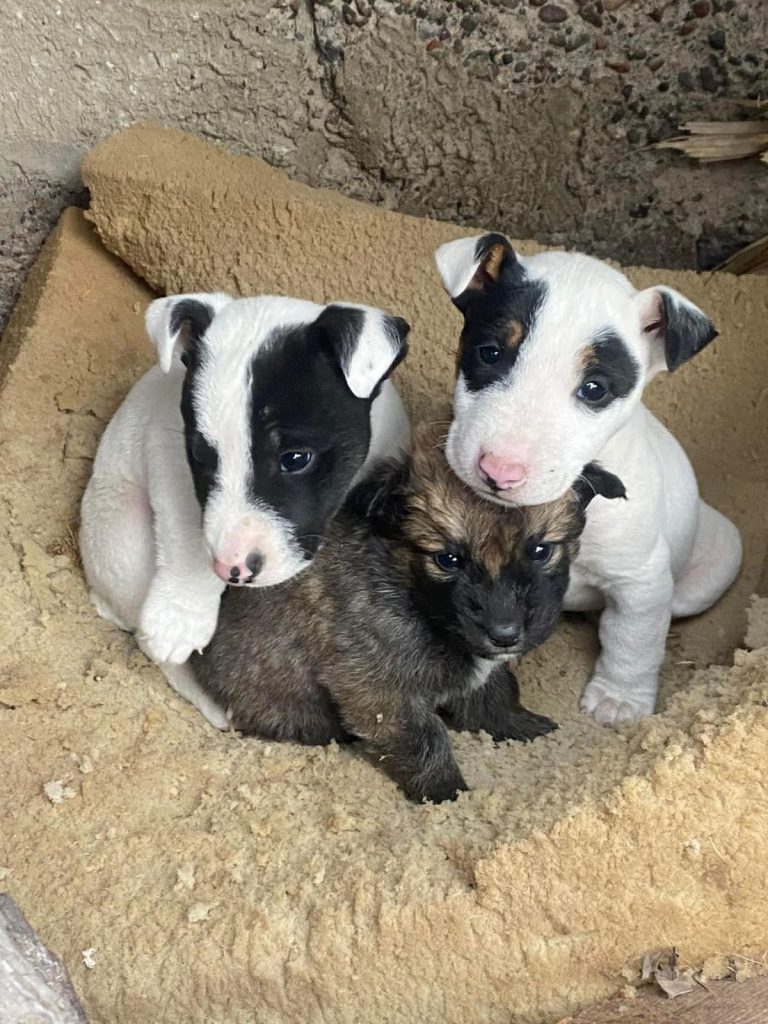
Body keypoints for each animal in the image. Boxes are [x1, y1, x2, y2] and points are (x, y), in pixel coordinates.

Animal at [80, 288, 411, 724]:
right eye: (200, 457)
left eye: (296, 458)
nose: (230, 570)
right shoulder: (170, 456)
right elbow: (187, 530)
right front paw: (180, 616)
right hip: (121, 532)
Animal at [191, 428, 626, 802]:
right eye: (447, 559)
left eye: (541, 550)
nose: (504, 634)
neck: (411, 595)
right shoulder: (380, 692)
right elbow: (426, 738)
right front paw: (446, 793)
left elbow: (497, 690)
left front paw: (518, 724)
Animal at [434, 232, 741, 729]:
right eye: (489, 353)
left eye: (595, 388)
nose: (499, 472)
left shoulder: (641, 580)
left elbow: (633, 638)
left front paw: (619, 700)